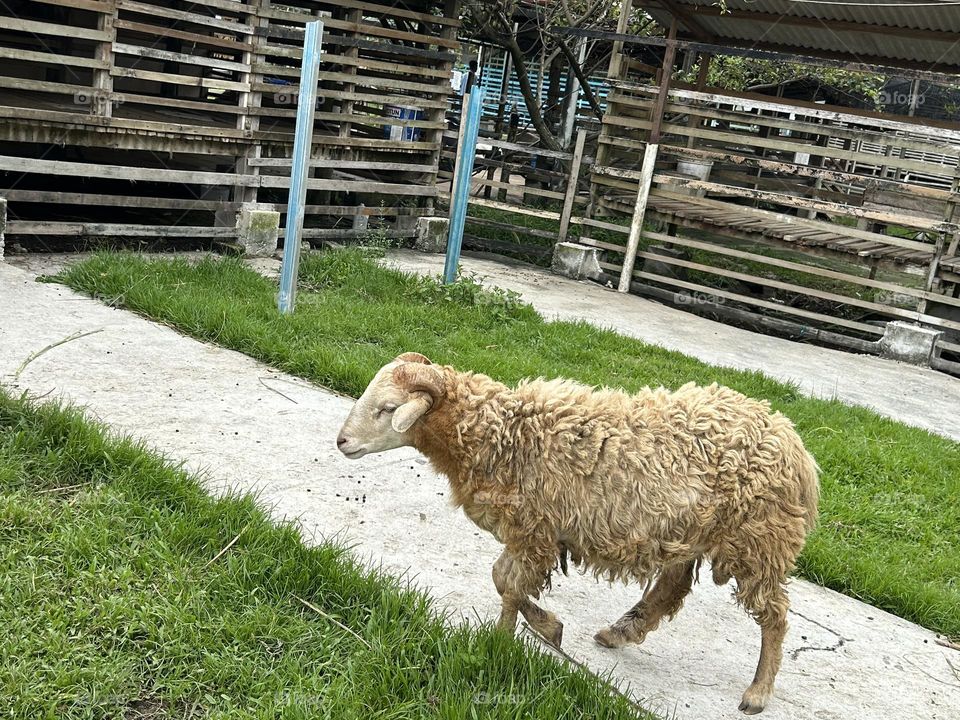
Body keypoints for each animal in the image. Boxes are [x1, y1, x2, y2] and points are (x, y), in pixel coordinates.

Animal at [336, 352, 819, 714]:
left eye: (387, 409)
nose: (341, 442)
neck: (505, 435)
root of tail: (798, 449)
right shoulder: (534, 534)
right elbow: (503, 579)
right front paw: (541, 629)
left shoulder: (534, 529)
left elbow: (509, 584)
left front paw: (504, 641)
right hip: (691, 530)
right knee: (674, 584)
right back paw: (621, 631)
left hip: (760, 538)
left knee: (774, 615)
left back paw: (757, 693)